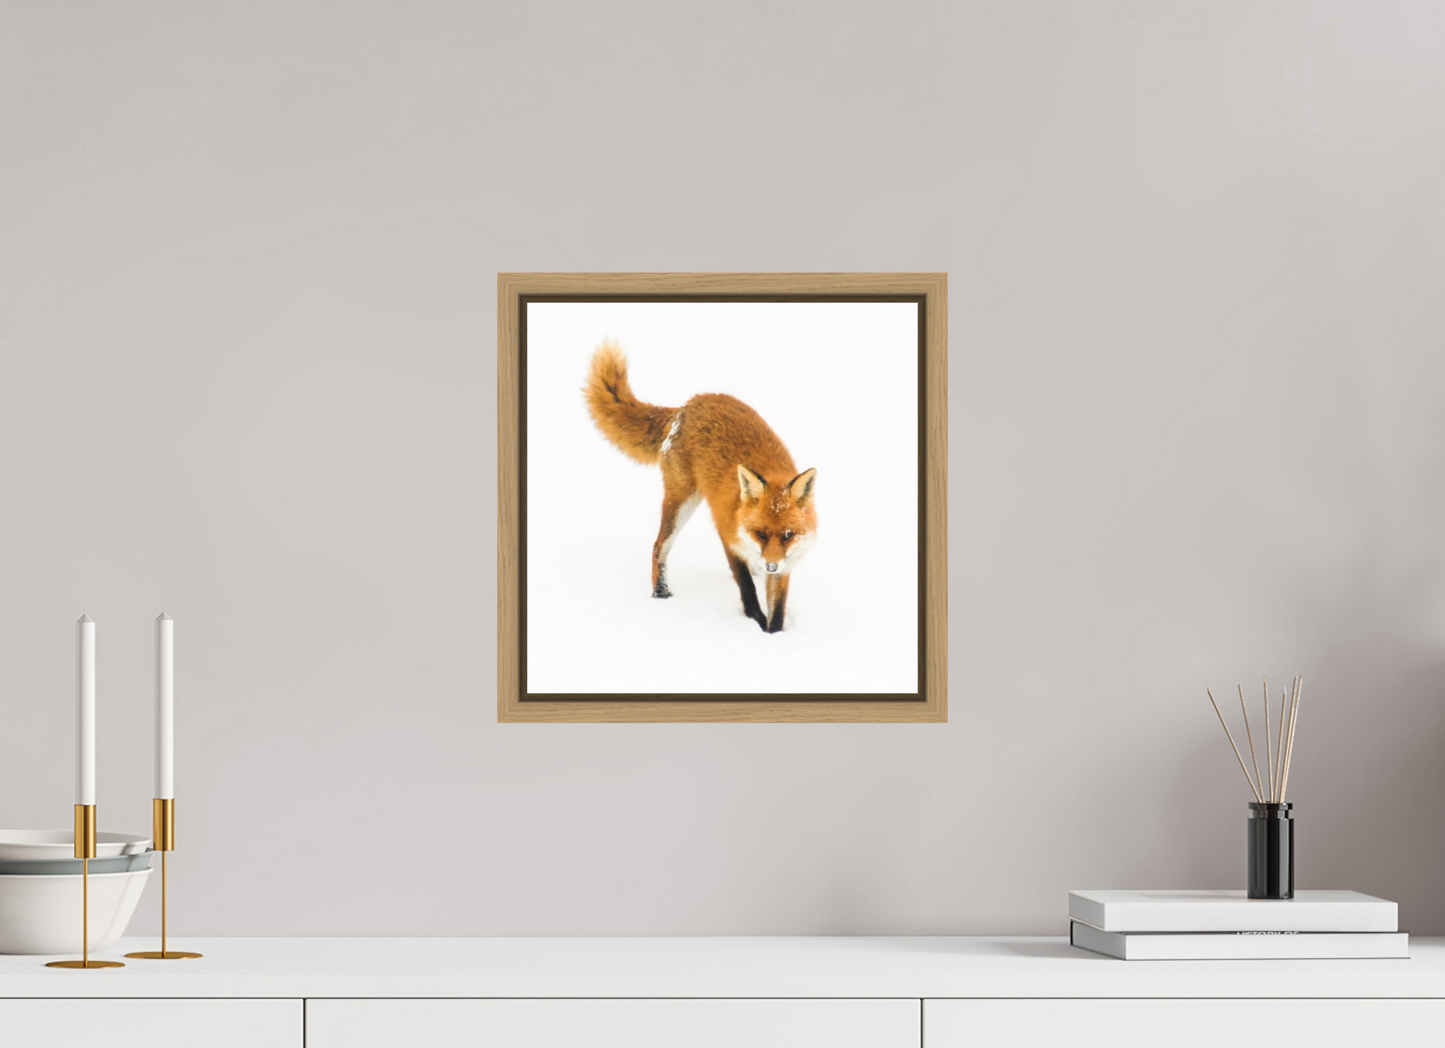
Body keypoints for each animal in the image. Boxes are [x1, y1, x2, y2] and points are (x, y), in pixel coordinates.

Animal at [583, 340, 817, 634]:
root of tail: (687, 405)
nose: (771, 565)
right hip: (681, 502)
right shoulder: (727, 537)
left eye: (788, 535)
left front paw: (773, 634)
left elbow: (778, 610)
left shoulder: (786, 564)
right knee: (658, 546)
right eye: (761, 533)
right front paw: (754, 623)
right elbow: (747, 590)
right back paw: (660, 594)